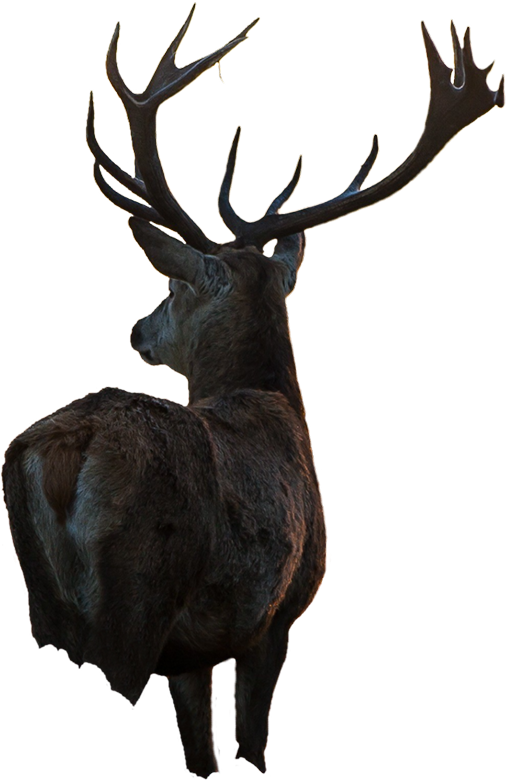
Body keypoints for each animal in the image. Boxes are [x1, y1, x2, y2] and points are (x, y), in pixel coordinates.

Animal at [2, 5, 504, 778]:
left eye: (172, 286)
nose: (137, 330)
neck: (276, 407)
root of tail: (65, 450)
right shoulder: (278, 613)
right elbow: (253, 744)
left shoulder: (199, 650)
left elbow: (205, 751)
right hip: (137, 596)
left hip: (43, 598)